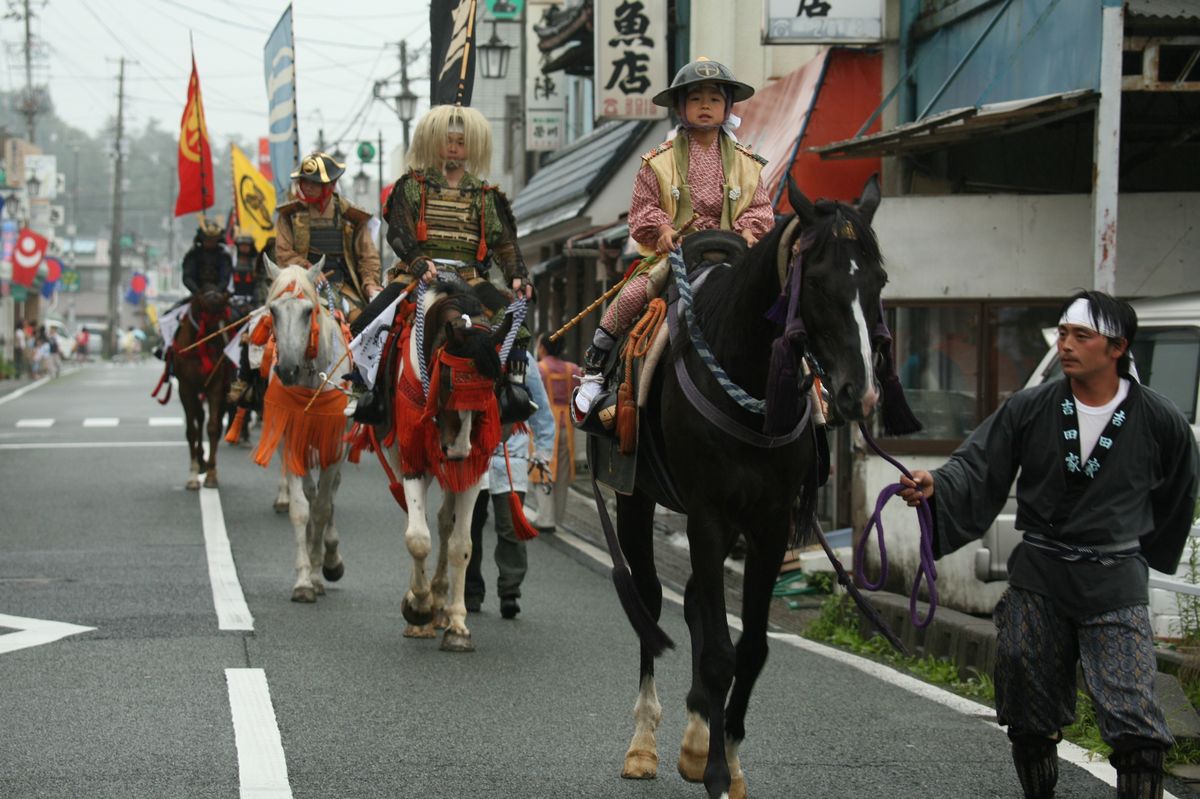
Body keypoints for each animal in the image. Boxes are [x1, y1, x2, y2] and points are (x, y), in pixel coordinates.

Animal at [172, 277, 232, 484]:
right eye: (207, 319)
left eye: (225, 318)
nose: (222, 350)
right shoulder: (185, 387)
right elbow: (191, 430)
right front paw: (193, 474)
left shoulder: (216, 384)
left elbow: (212, 427)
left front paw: (212, 473)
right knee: (198, 416)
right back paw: (199, 461)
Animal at [250, 257, 350, 599]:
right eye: (273, 311)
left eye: (308, 312)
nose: (288, 369)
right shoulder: (292, 441)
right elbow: (301, 507)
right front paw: (305, 580)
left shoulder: (335, 445)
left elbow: (321, 507)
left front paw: (321, 570)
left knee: (330, 496)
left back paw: (331, 558)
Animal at [604, 176, 888, 796]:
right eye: (820, 281)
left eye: (878, 282)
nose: (859, 393)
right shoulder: (709, 513)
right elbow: (717, 653)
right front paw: (713, 770)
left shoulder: (769, 520)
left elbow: (751, 648)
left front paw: (725, 756)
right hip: (636, 497)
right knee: (651, 601)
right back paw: (643, 743)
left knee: (692, 603)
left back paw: (692, 735)